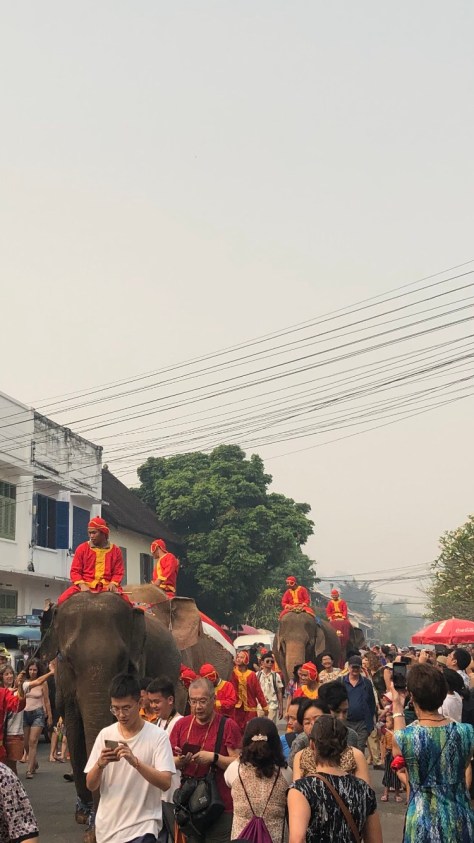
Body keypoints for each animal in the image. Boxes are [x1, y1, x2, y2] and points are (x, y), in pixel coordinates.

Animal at [41, 592, 182, 837]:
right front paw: (84, 816)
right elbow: (75, 731)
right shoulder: (64, 686)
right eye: (68, 659)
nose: (94, 832)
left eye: (123, 659)